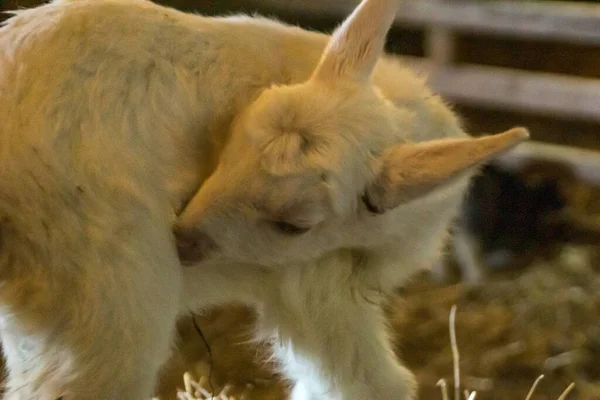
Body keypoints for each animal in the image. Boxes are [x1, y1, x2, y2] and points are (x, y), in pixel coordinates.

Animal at [0, 0, 524, 398]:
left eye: (293, 224)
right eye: (229, 145)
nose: (183, 240)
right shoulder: (315, 283)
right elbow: (361, 383)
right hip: (102, 297)